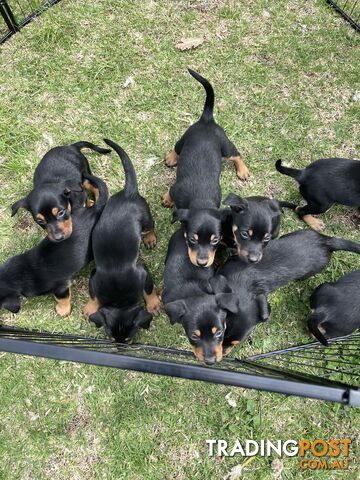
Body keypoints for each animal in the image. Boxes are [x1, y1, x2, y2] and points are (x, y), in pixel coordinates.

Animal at [84, 137, 160, 344]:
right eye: (112, 339)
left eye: (128, 340)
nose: (121, 349)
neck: (119, 302)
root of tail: (128, 192)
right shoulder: (94, 276)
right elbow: (93, 294)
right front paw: (90, 307)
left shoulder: (143, 271)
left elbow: (148, 289)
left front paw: (153, 304)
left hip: (145, 215)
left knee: (151, 226)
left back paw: (150, 238)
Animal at [162, 69, 249, 268]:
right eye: (192, 239)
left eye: (215, 240)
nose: (202, 263)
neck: (200, 200)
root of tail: (207, 120)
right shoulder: (176, 188)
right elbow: (170, 191)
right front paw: (167, 199)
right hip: (186, 139)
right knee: (177, 148)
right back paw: (171, 158)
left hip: (224, 146)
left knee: (236, 154)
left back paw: (243, 170)